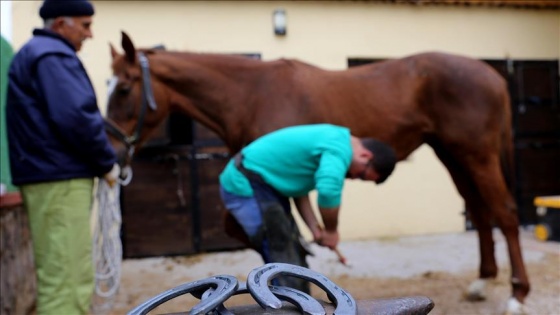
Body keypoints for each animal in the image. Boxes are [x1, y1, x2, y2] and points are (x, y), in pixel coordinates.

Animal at [106, 32, 528, 314]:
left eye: (123, 88)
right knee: (480, 211)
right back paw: (481, 282)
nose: (112, 151)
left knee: (505, 212)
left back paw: (517, 295)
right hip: (453, 155)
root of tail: (492, 75)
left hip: (476, 154)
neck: (251, 92)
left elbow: (280, 238)